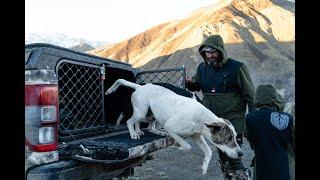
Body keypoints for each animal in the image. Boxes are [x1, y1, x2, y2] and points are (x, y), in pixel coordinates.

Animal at [105, 79, 242, 174]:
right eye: (229, 138)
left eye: (235, 137)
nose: (241, 153)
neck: (201, 118)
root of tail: (141, 86)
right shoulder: (171, 128)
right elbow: (186, 146)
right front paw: (176, 146)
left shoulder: (197, 136)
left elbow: (208, 151)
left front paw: (204, 167)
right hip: (141, 111)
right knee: (130, 121)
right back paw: (133, 133)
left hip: (149, 114)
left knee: (148, 126)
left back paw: (148, 132)